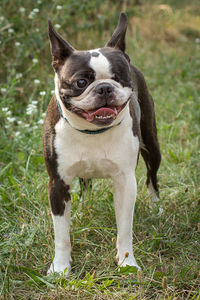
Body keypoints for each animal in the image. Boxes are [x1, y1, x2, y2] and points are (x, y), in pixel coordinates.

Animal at [43, 12, 161, 274]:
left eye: (119, 78)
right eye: (81, 82)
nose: (105, 87)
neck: (92, 132)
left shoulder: (126, 182)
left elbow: (125, 229)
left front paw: (127, 263)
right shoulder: (58, 183)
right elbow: (61, 235)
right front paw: (60, 268)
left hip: (152, 146)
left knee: (152, 178)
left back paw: (156, 207)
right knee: (85, 185)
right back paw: (83, 209)